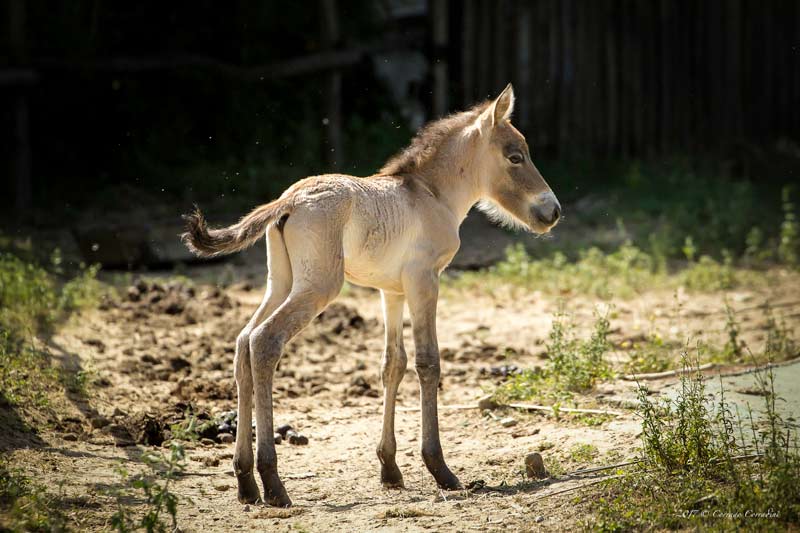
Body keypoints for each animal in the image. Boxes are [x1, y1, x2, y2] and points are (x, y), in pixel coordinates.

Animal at [181, 84, 561, 507]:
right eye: (515, 157)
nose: (552, 211)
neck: (430, 194)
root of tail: (288, 200)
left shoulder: (391, 292)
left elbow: (392, 364)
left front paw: (390, 468)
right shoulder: (424, 280)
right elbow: (428, 363)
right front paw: (440, 469)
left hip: (280, 284)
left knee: (243, 342)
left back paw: (246, 482)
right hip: (318, 288)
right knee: (265, 342)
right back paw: (273, 482)